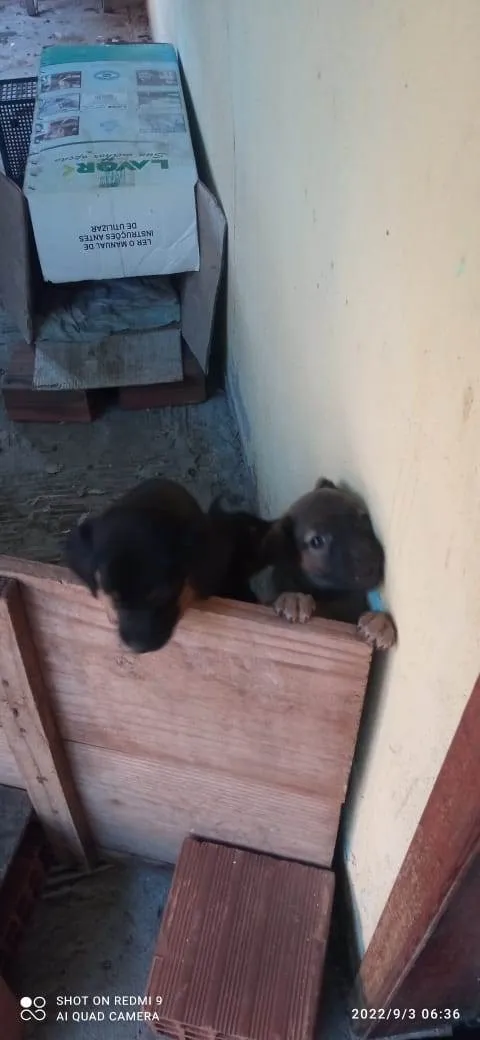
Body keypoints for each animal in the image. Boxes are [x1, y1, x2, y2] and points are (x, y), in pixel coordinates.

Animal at [260, 478, 394, 648]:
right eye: (316, 541)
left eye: (364, 519)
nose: (369, 558)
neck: (331, 595)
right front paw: (295, 598)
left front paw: (380, 621)